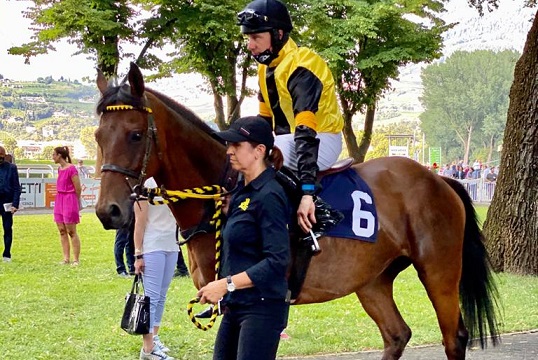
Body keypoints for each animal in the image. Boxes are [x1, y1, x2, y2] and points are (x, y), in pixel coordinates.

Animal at [93, 63, 498, 358]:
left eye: (135, 134)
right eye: (98, 136)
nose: (108, 211)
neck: (226, 191)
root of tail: (439, 179)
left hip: (439, 270)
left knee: (454, 337)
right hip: (373, 280)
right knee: (397, 335)